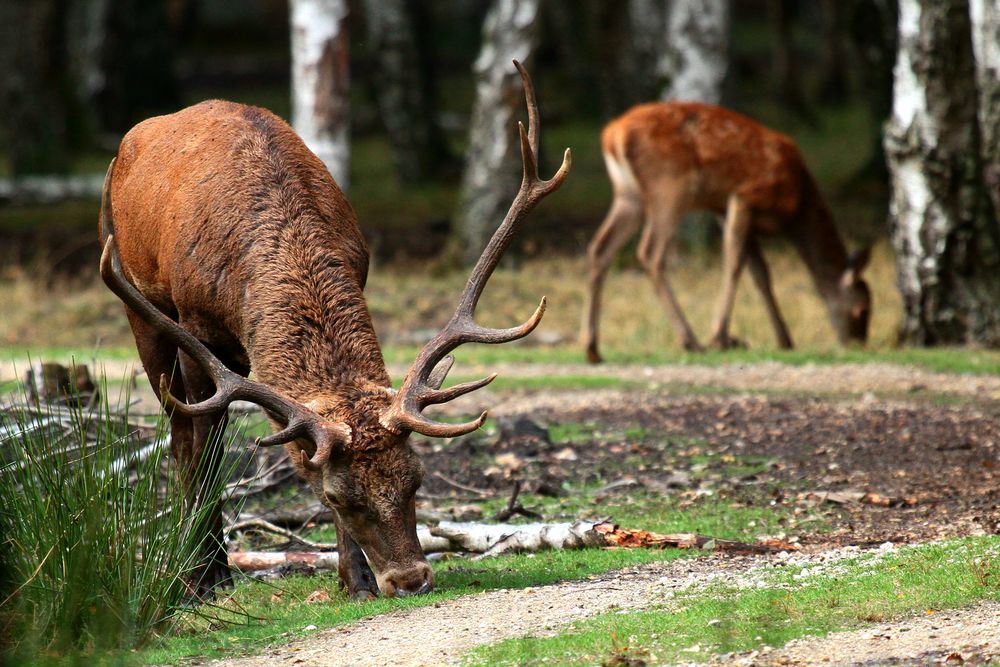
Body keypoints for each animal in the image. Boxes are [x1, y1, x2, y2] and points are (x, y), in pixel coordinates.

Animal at [100, 62, 572, 600]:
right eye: (338, 498)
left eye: (416, 479)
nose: (410, 579)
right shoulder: (195, 327)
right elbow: (206, 452)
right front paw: (208, 577)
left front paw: (356, 580)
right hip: (143, 311)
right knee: (181, 438)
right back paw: (200, 569)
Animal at [584, 102, 872, 362]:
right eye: (861, 310)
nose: (857, 345)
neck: (797, 208)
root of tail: (612, 135)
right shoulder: (745, 198)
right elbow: (735, 264)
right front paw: (720, 338)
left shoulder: (728, 211)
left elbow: (761, 274)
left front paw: (785, 340)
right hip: (669, 186)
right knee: (650, 252)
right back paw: (690, 340)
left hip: (629, 196)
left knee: (600, 248)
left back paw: (593, 348)